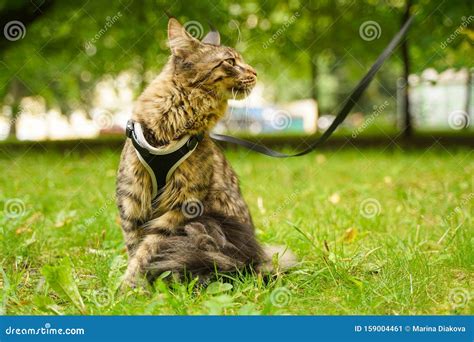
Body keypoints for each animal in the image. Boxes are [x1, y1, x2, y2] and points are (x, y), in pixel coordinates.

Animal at [116, 18, 294, 286]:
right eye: (230, 61)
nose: (254, 72)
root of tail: (258, 258)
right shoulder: (132, 197)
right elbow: (135, 246)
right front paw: (132, 287)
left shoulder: (182, 206)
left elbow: (147, 249)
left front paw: (131, 287)